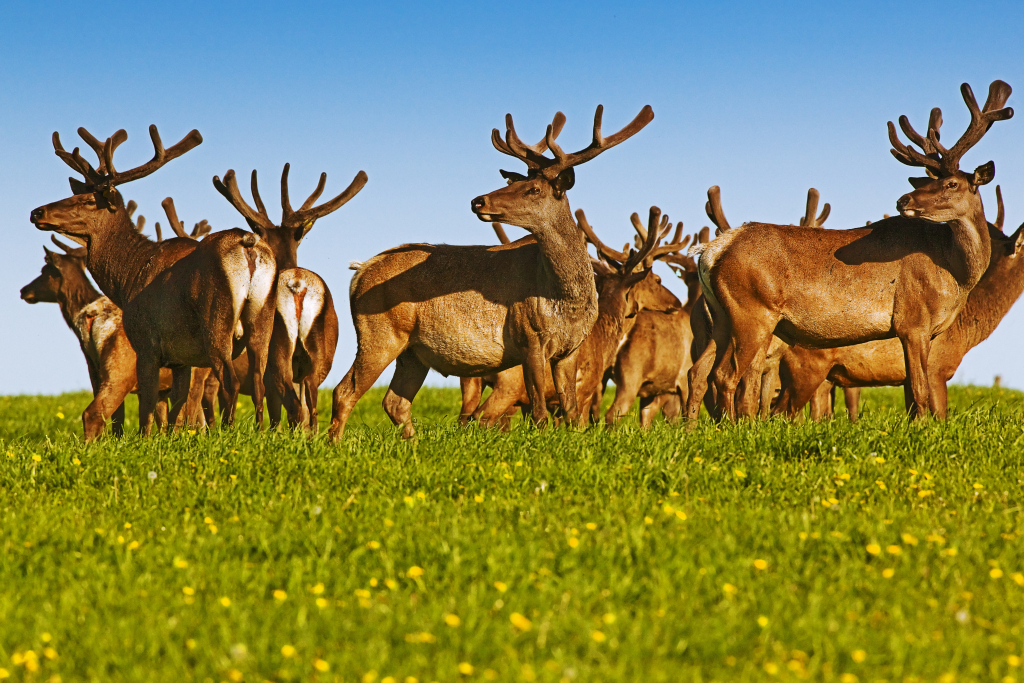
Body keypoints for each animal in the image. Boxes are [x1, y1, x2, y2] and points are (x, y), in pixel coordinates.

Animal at [29, 123, 278, 436]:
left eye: (86, 201)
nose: (37, 211)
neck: (127, 278)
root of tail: (247, 243)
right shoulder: (181, 359)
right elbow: (176, 412)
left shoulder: (147, 343)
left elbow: (148, 409)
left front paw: (146, 441)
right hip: (263, 317)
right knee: (259, 381)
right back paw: (261, 431)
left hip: (216, 318)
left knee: (229, 381)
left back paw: (229, 431)